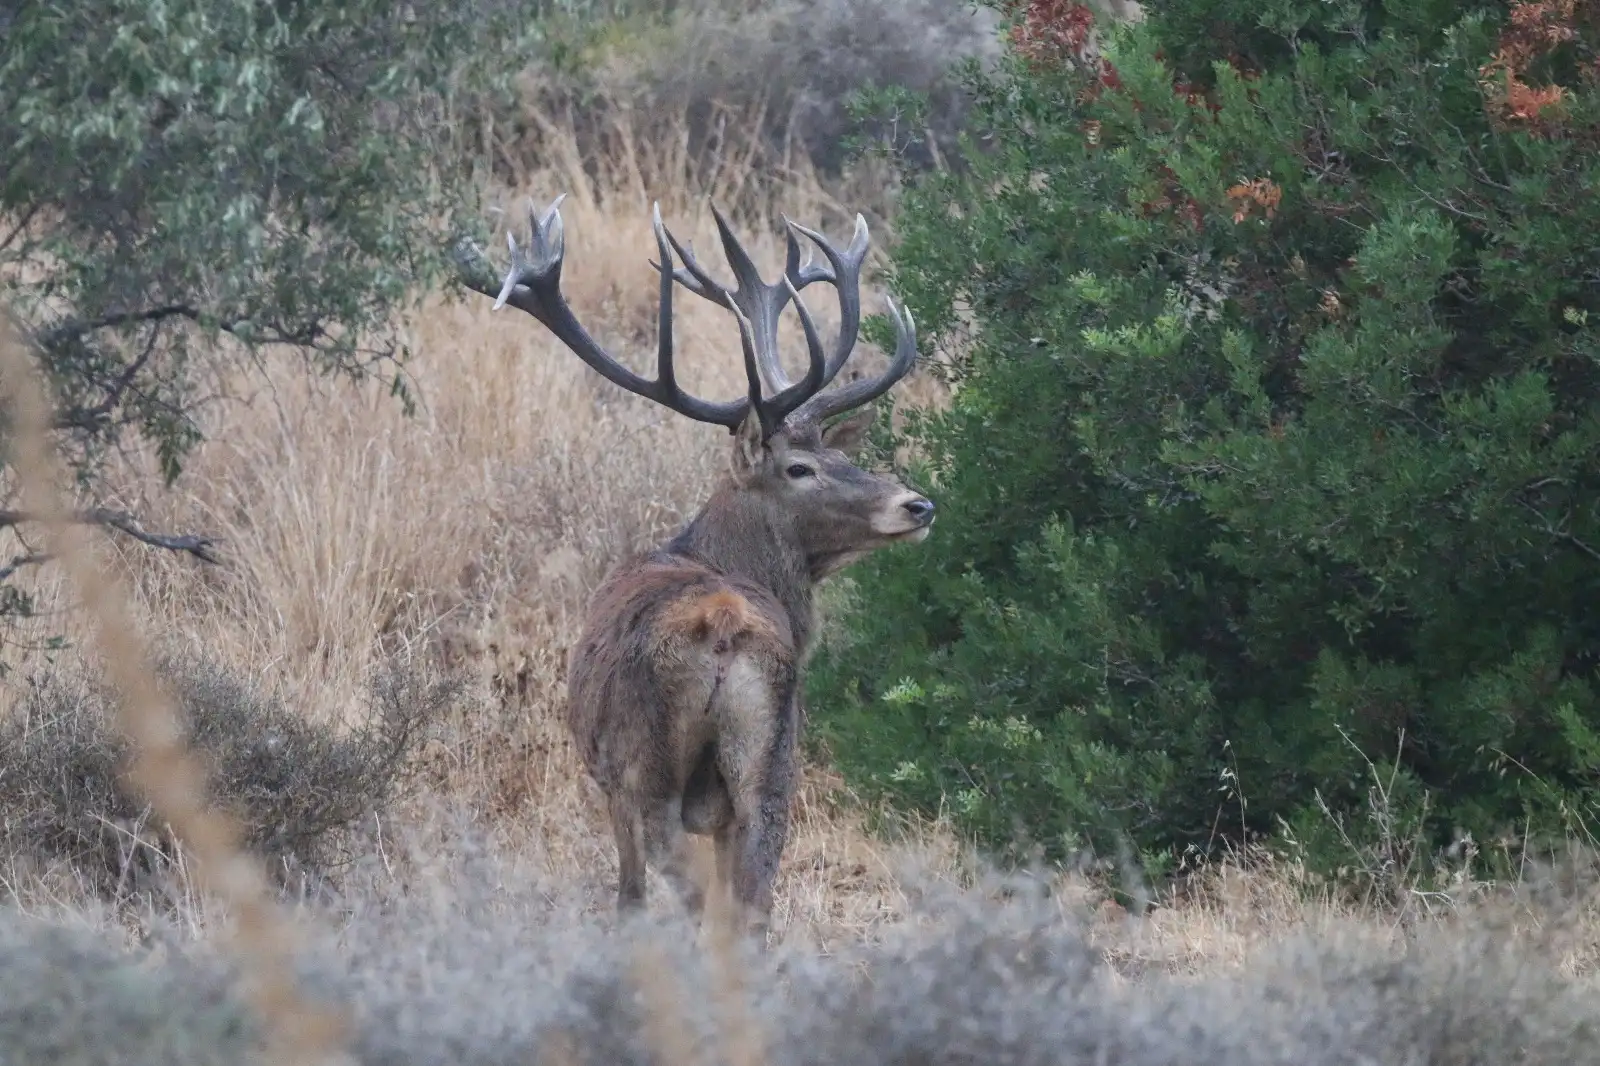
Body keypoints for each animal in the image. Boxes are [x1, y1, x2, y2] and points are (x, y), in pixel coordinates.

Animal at [454, 195, 935, 943]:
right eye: (804, 466)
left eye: (829, 457)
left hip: (644, 768)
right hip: (774, 767)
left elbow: (629, 897)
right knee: (750, 909)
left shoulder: (609, 783)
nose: (917, 503)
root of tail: (724, 627)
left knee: (678, 895)